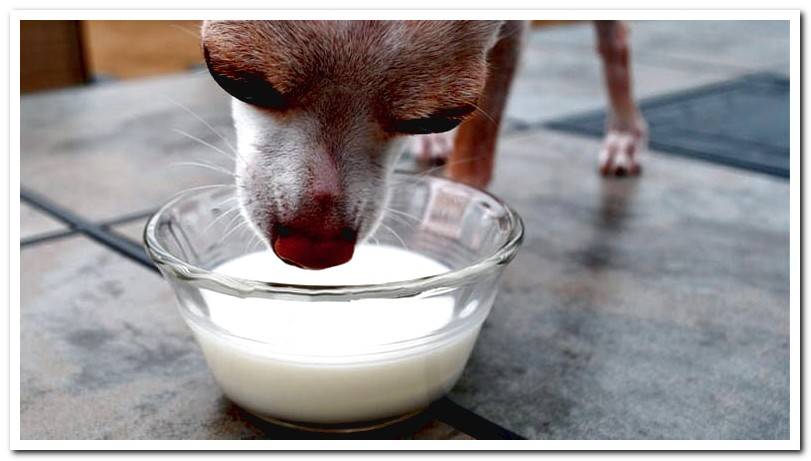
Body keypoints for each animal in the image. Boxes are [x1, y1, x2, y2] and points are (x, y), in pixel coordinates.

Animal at [200, 20, 644, 270]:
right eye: (240, 83)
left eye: (441, 117)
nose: (314, 250)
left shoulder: (510, 35)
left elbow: (476, 156)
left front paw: (453, 230)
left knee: (616, 42)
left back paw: (624, 134)